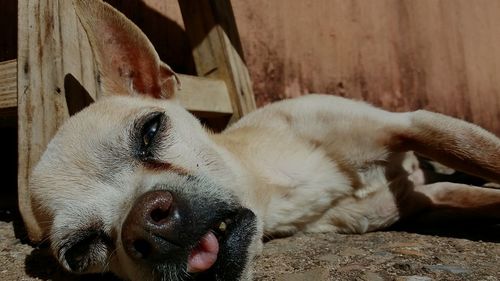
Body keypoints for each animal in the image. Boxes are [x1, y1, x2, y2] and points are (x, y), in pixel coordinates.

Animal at [26, 0, 500, 280]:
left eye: (152, 130)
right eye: (81, 251)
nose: (145, 225)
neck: (285, 185)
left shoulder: (413, 123)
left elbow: (481, 153)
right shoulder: (430, 197)